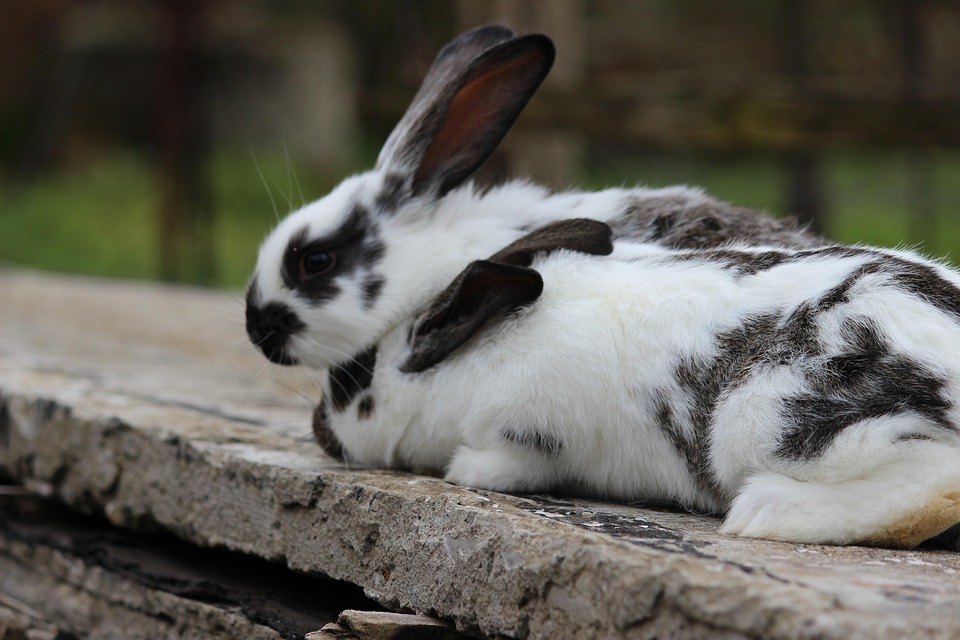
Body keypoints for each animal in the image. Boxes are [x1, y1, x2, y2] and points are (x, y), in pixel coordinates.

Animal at [310, 217, 960, 549]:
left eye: (352, 377)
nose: (318, 430)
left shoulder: (526, 436)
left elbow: (504, 467)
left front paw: (461, 469)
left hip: (767, 420)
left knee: (936, 484)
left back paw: (765, 513)